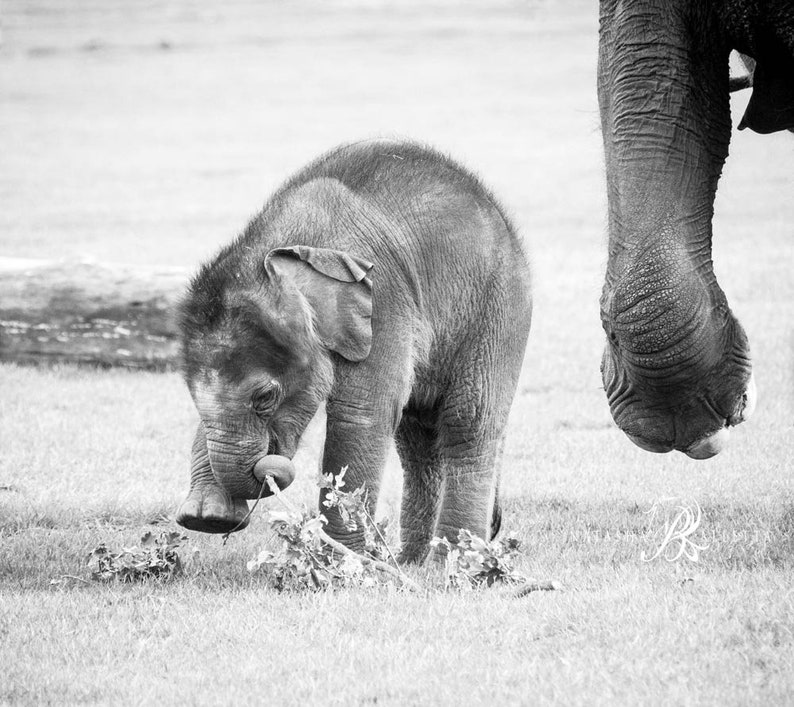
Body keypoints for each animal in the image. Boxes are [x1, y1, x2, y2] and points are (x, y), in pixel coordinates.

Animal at [175, 139, 532, 563]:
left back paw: (455, 562)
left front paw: (343, 561)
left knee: (467, 422)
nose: (268, 470)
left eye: (265, 398)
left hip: (499, 308)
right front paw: (206, 518)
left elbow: (361, 414)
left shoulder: (385, 300)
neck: (282, 252)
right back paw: (412, 561)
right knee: (418, 436)